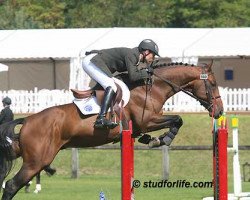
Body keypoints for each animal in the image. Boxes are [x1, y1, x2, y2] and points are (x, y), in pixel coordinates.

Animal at [0, 58, 224, 199]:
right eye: (212, 84)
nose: (220, 111)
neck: (151, 87)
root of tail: (27, 121)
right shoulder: (148, 120)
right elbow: (177, 119)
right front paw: (163, 139)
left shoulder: (141, 126)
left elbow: (175, 120)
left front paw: (151, 139)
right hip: (37, 161)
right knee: (11, 185)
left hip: (31, 156)